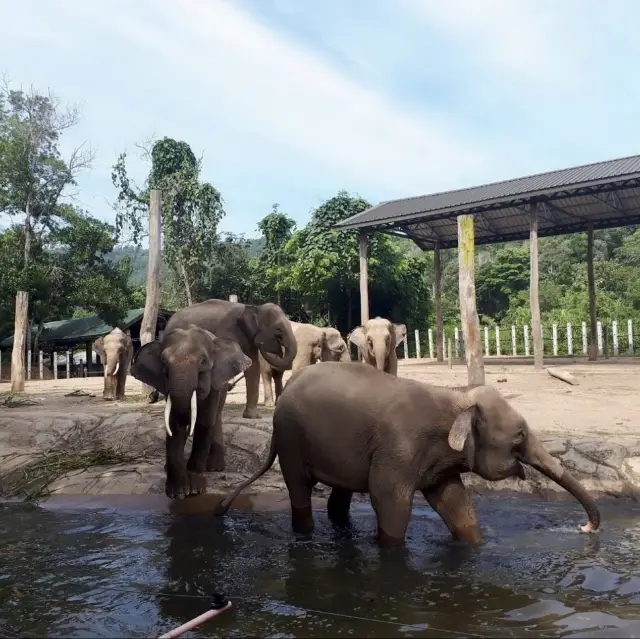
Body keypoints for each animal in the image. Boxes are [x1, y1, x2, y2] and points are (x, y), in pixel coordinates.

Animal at [129, 324, 251, 500]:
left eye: (203, 361)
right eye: (164, 362)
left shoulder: (213, 383)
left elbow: (204, 422)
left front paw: (196, 490)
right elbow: (174, 423)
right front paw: (178, 493)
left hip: (222, 386)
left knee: (216, 417)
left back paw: (214, 468)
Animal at [160, 300, 300, 420]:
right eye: (278, 329)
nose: (262, 343)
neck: (253, 307)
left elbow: (254, 367)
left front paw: (252, 416)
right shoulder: (227, 331)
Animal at [218, 362, 604, 548]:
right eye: (519, 436)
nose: (583, 527)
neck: (457, 396)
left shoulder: (438, 461)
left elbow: (454, 502)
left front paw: (476, 545)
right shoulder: (399, 447)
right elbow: (390, 499)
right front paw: (389, 549)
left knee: (340, 495)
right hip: (292, 440)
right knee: (299, 487)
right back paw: (306, 533)